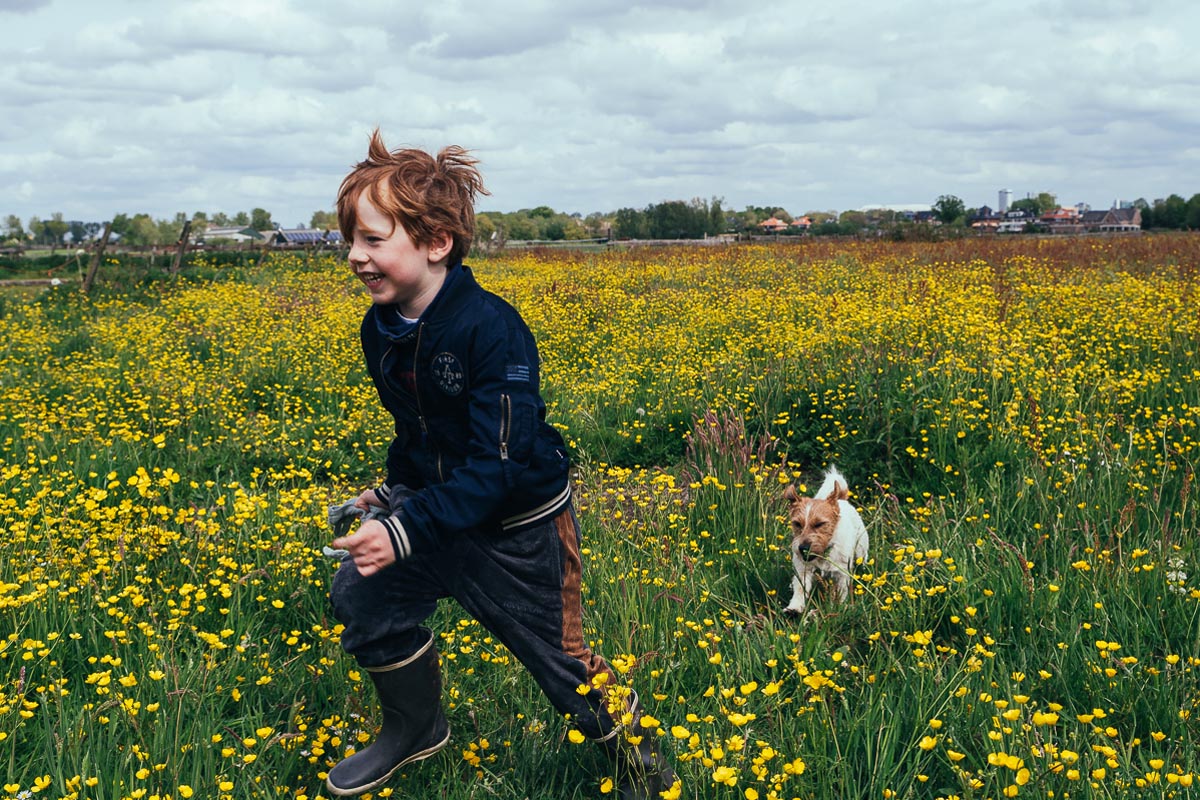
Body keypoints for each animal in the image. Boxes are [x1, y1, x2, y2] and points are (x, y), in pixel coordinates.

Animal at [782, 465, 868, 618]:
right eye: (797, 523)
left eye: (820, 524)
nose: (803, 548)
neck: (823, 552)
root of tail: (841, 499)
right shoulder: (804, 569)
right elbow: (800, 588)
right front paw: (794, 607)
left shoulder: (841, 574)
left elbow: (840, 593)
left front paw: (837, 608)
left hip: (861, 551)